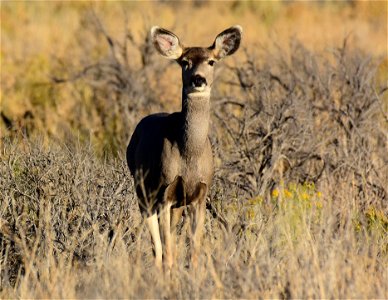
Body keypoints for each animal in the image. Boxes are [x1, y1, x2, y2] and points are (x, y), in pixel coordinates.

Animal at [127, 25, 242, 270]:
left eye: (211, 61)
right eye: (184, 62)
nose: (198, 79)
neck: (189, 155)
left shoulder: (199, 194)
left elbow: (194, 251)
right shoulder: (165, 192)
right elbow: (167, 251)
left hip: (176, 205)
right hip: (142, 190)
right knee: (157, 247)